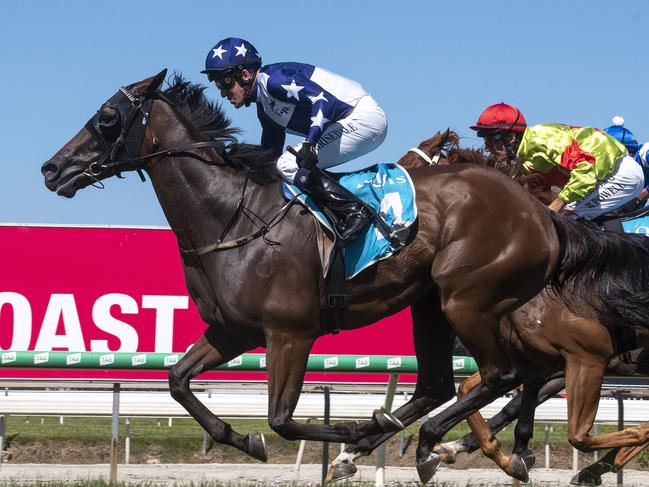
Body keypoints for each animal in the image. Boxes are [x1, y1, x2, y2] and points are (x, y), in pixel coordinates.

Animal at [40, 72, 648, 476]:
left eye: (108, 119)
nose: (51, 168)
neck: (231, 215)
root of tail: (543, 216)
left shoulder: (289, 333)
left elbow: (282, 419)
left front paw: (351, 432)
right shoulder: (232, 331)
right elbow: (178, 382)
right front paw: (250, 439)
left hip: (467, 298)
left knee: (498, 375)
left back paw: (429, 442)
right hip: (432, 304)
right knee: (442, 383)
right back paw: (411, 440)